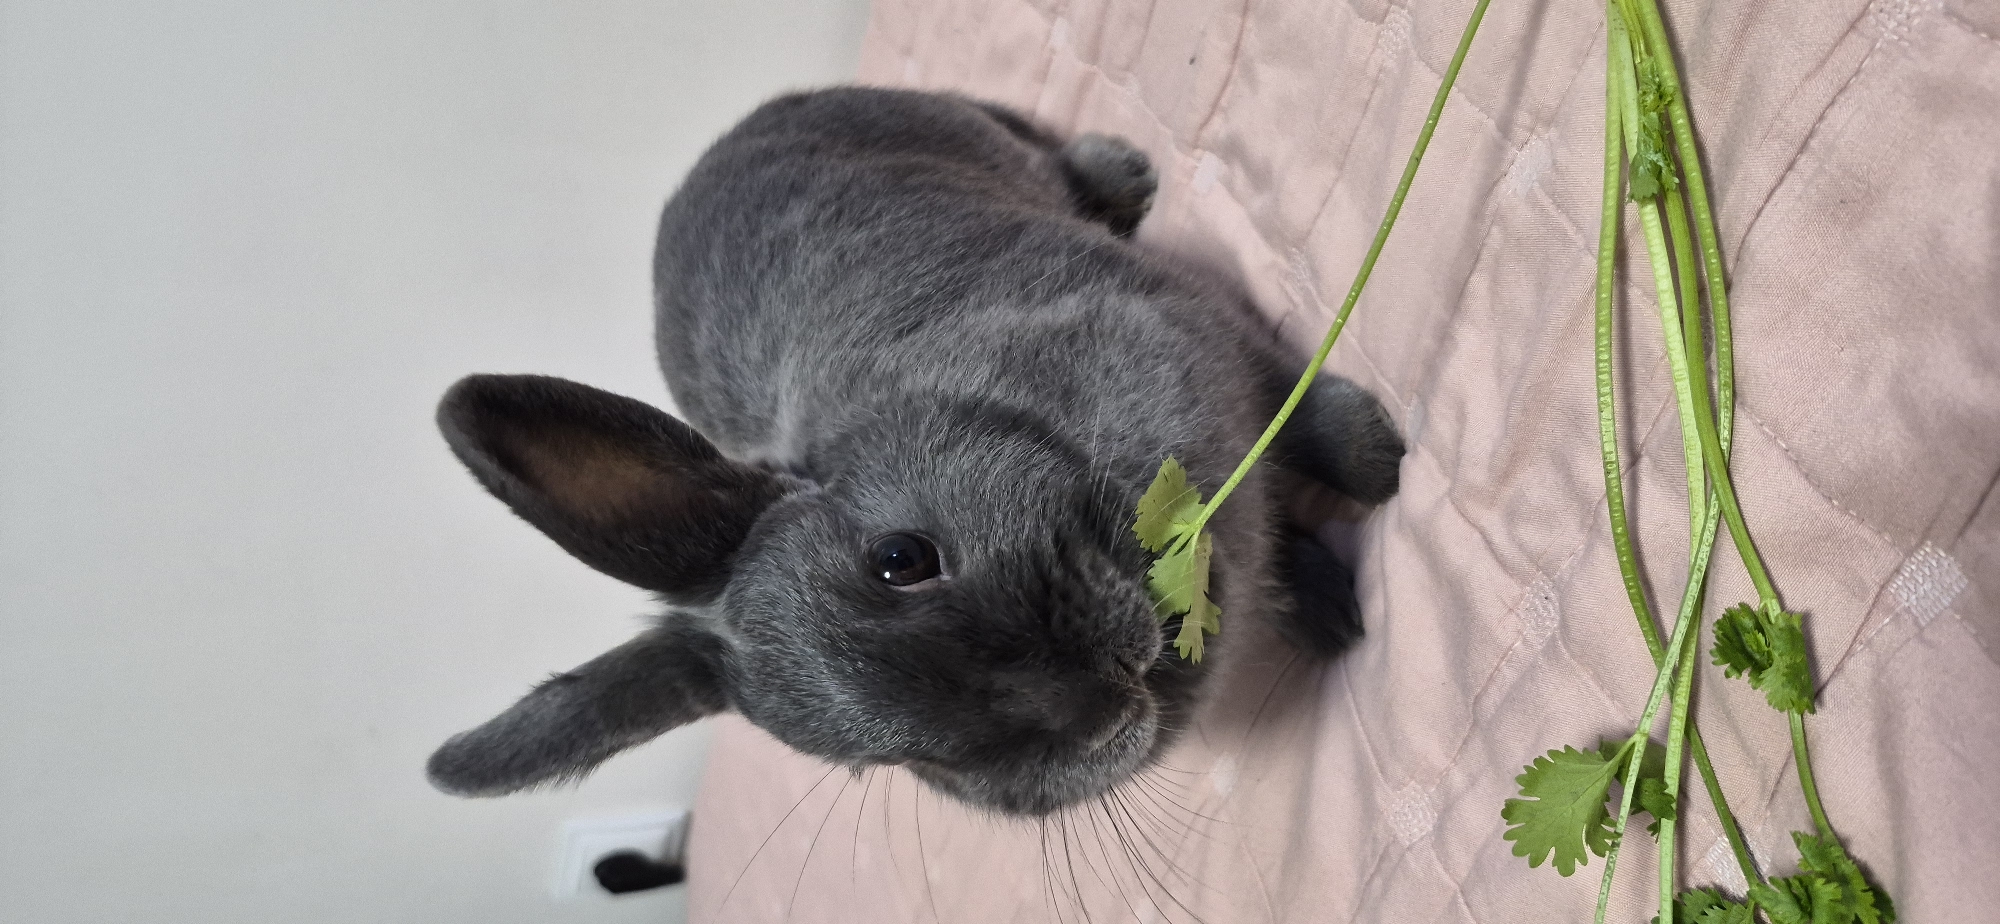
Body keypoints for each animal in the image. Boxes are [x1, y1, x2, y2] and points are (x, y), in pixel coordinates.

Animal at [426, 87, 1404, 817]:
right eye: (884, 762)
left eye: (900, 558)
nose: (1087, 716)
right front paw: (1327, 611)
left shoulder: (1182, 320)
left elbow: (1295, 410)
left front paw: (1382, 466)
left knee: (1064, 160)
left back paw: (1125, 170)